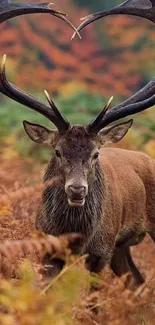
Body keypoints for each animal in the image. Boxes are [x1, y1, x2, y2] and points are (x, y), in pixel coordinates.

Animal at [0, 53, 155, 286]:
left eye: (95, 154)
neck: (74, 236)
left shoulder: (102, 251)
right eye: (57, 151)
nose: (77, 190)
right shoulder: (47, 248)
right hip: (121, 246)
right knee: (136, 279)